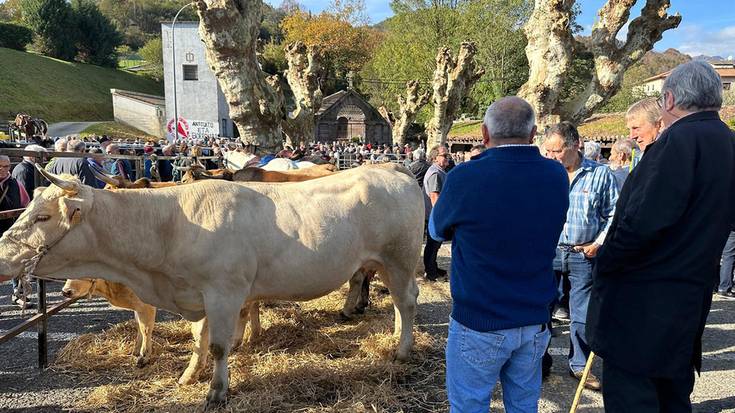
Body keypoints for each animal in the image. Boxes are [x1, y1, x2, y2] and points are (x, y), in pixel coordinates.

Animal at [0, 163, 422, 408]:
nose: (2, 254)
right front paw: (190, 374)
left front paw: (216, 391)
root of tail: (395, 172)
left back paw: (402, 352)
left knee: (407, 301)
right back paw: (393, 339)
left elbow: (219, 345)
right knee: (397, 302)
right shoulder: (198, 293)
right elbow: (198, 338)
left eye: (41, 216)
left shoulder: (224, 292)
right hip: (383, 263)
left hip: (400, 258)